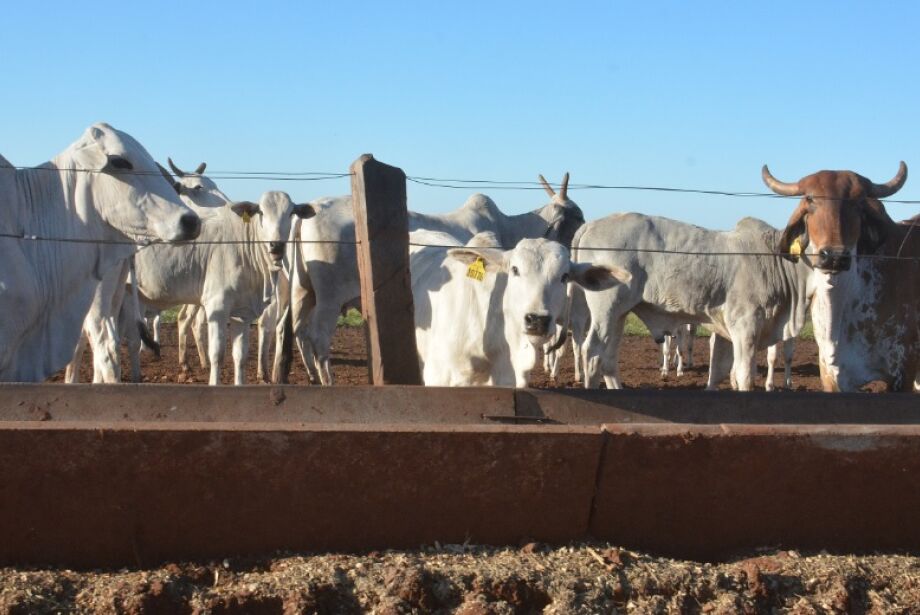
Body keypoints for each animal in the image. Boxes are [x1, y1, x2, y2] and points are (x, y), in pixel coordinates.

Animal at [132, 192, 312, 384]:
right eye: (261, 212)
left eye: (291, 213)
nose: (276, 246)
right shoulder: (217, 308)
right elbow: (217, 355)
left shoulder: (243, 314)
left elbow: (240, 356)